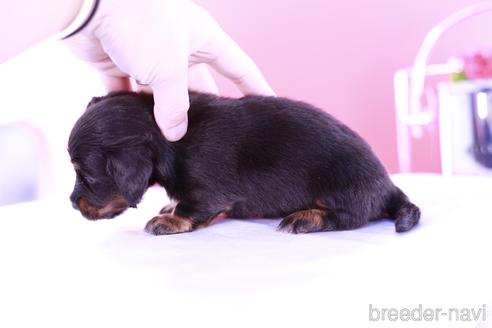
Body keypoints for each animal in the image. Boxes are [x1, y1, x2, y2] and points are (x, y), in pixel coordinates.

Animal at [69, 92, 420, 234]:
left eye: (87, 177)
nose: (72, 203)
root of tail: (388, 186)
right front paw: (170, 206)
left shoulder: (206, 189)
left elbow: (194, 207)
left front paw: (170, 219)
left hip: (342, 184)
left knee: (348, 216)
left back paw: (304, 218)